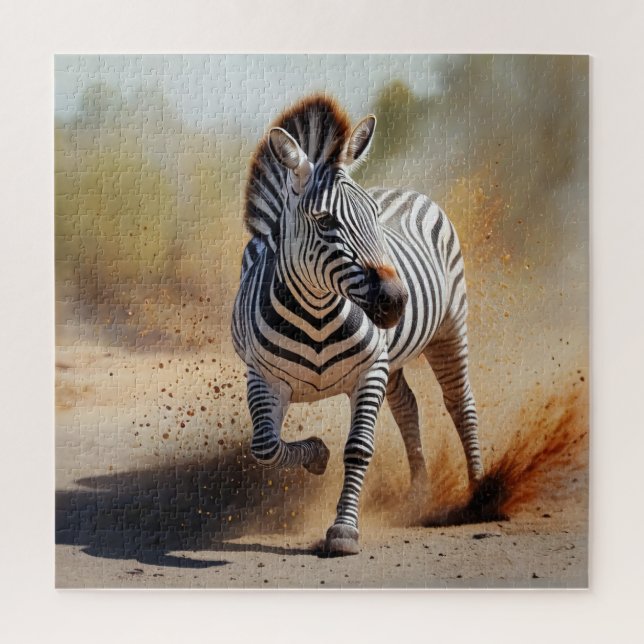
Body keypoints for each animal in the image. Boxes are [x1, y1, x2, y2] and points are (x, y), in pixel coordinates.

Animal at [231, 94, 484, 555]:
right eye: (325, 221)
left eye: (374, 215)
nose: (396, 300)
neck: (315, 316)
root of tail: (405, 189)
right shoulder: (263, 377)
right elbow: (266, 446)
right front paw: (316, 455)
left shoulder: (369, 371)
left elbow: (359, 448)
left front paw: (345, 529)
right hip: (395, 356)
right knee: (407, 406)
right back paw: (418, 493)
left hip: (449, 327)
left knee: (461, 403)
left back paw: (480, 492)